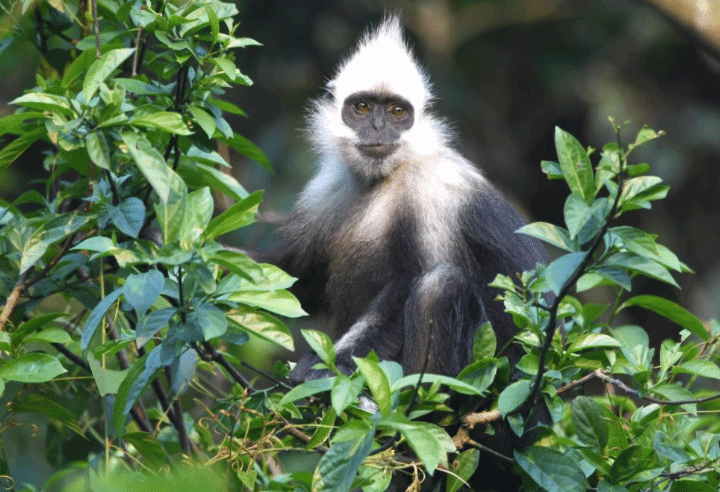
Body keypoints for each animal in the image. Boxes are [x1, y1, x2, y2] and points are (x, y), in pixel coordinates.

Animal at [268, 16, 548, 384]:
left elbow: (410, 285)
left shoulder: (430, 188)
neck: (383, 177)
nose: (377, 127)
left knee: (439, 286)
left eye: (398, 111)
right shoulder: (328, 188)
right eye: (362, 107)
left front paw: (326, 366)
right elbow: (296, 281)